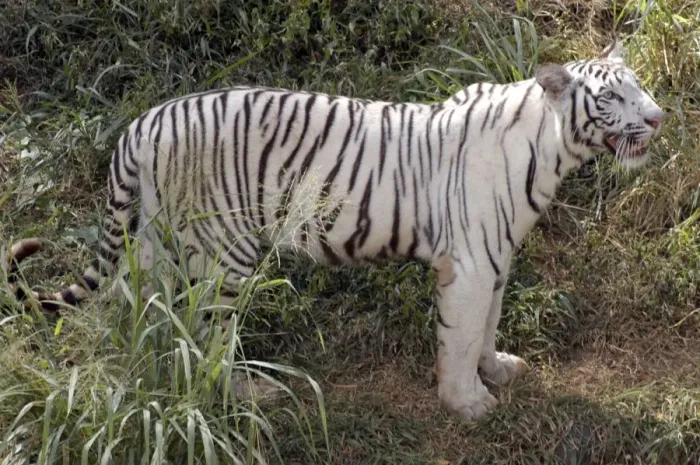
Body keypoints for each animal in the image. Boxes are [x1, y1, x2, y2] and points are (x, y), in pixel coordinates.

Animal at [6, 40, 665, 421]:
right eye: (613, 97)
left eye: (639, 87)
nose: (660, 117)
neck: (553, 151)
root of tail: (143, 123)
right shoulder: (472, 261)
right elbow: (459, 336)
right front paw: (468, 403)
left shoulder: (498, 256)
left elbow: (487, 327)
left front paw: (497, 368)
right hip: (223, 250)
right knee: (207, 327)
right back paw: (244, 394)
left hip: (156, 241)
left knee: (143, 309)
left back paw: (148, 371)